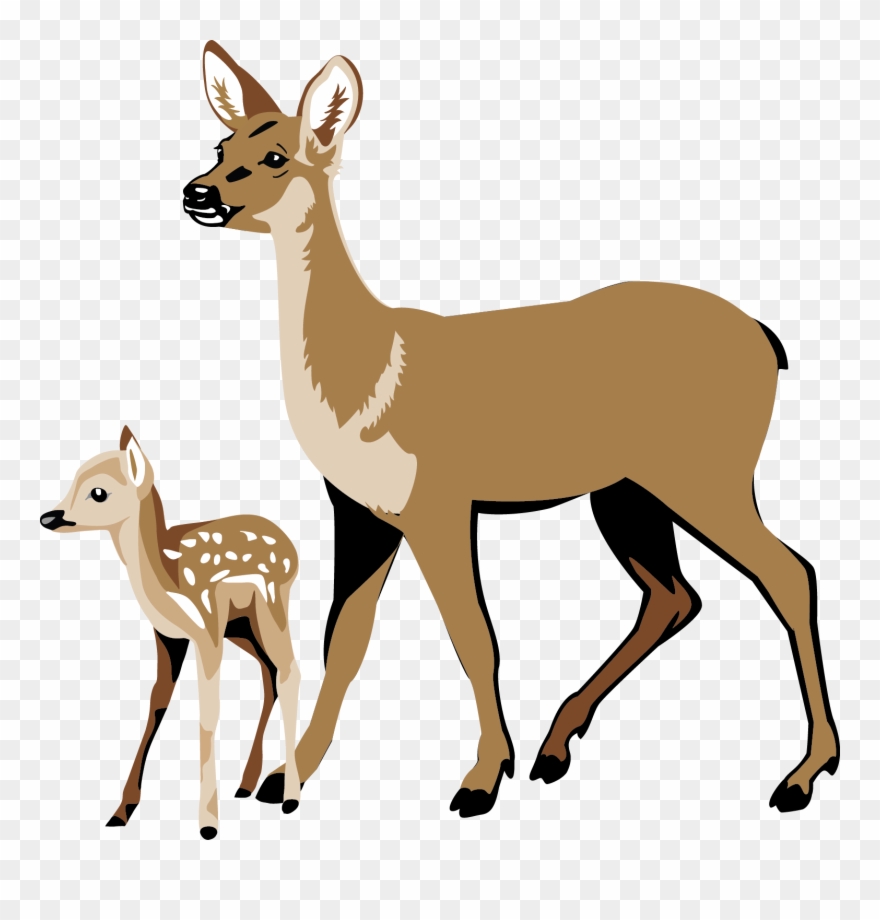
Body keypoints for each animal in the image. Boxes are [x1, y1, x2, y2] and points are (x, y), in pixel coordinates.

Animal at [40, 427, 302, 837]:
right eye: (73, 480)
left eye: (98, 492)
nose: (49, 516)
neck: (168, 577)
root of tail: (294, 550)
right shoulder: (169, 636)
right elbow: (156, 703)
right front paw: (121, 811)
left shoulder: (207, 625)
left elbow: (208, 712)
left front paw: (208, 825)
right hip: (242, 628)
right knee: (270, 671)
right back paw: (246, 785)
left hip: (271, 605)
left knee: (290, 670)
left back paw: (289, 799)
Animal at [181, 42, 839, 818]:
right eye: (221, 145)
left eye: (278, 155)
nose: (198, 192)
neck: (367, 379)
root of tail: (769, 341)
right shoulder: (361, 510)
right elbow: (343, 640)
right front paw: (289, 779)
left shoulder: (439, 501)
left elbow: (474, 635)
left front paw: (479, 780)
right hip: (626, 489)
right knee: (675, 594)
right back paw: (556, 748)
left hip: (704, 471)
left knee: (788, 572)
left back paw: (803, 774)